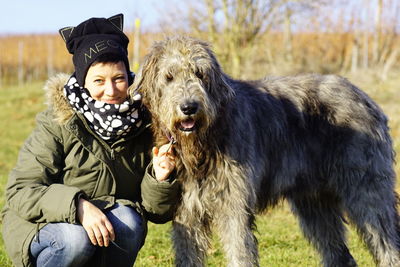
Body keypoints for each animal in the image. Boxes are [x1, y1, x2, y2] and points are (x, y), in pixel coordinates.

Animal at [132, 36, 400, 267]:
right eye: (169, 77)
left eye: (200, 73)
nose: (189, 107)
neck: (204, 143)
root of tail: (366, 98)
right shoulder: (187, 213)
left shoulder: (234, 206)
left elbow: (240, 251)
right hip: (313, 200)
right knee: (340, 254)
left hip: (367, 189)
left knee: (387, 240)